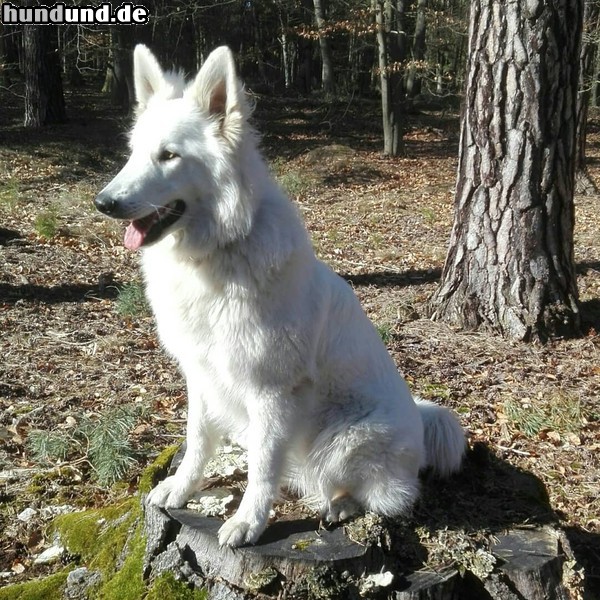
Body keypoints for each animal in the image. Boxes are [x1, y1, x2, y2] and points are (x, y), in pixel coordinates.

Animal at [95, 44, 468, 548]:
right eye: (134, 154)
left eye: (168, 156)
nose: (103, 203)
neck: (219, 252)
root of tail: (420, 420)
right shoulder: (201, 376)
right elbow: (197, 440)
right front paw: (183, 488)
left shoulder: (271, 393)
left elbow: (262, 466)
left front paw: (249, 522)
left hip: (345, 440)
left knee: (393, 496)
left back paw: (343, 505)